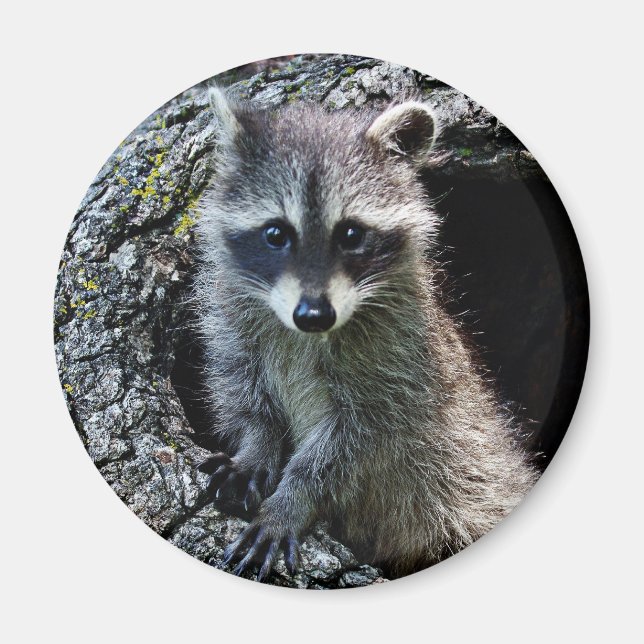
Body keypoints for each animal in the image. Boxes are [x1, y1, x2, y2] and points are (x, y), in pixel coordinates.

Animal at [195, 87, 539, 580]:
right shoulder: (232, 317)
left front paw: (293, 497)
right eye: (276, 233)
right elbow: (243, 389)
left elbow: (353, 446)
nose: (314, 315)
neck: (308, 333)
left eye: (351, 234)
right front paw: (256, 448)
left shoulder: (397, 361)